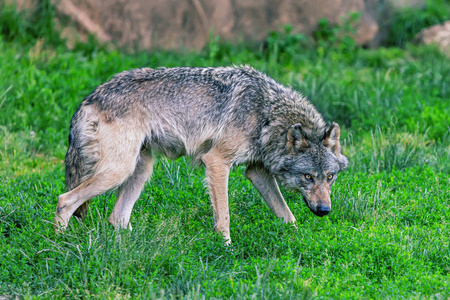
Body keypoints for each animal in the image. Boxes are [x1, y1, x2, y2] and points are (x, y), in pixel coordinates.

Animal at [53, 65, 348, 244]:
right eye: (307, 177)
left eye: (330, 177)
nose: (325, 211)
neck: (267, 113)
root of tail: (90, 98)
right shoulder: (217, 161)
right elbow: (224, 217)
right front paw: (226, 249)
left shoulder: (257, 170)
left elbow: (287, 216)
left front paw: (299, 242)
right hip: (118, 170)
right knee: (64, 200)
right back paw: (59, 246)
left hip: (141, 170)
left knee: (117, 218)